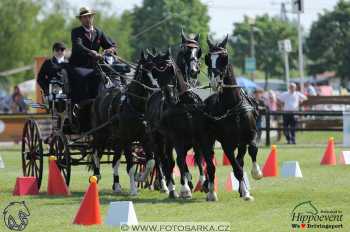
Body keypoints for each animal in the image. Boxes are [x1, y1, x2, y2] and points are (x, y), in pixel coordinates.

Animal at [201, 35, 262, 200]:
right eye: (208, 58)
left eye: (224, 58)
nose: (215, 81)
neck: (233, 106)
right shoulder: (227, 144)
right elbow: (237, 168)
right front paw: (246, 193)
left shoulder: (250, 135)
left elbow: (252, 149)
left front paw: (256, 173)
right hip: (208, 140)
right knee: (210, 165)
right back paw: (211, 192)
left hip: (238, 143)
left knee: (239, 160)